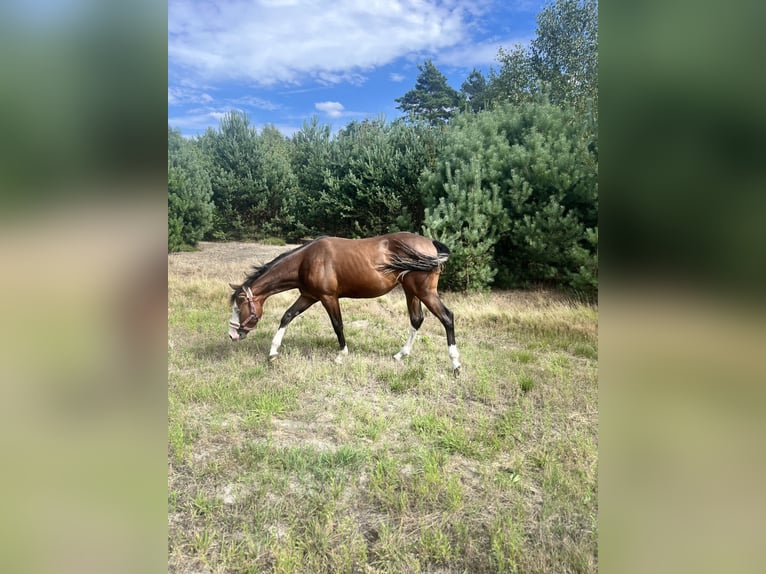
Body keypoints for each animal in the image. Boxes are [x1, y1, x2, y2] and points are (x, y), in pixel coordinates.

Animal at [227, 232, 461, 375]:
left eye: (239, 307)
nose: (232, 335)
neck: (307, 260)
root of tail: (430, 244)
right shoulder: (308, 296)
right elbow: (287, 316)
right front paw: (273, 353)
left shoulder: (328, 297)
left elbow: (337, 325)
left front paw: (341, 355)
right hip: (411, 292)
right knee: (417, 319)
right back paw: (400, 354)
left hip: (424, 292)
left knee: (447, 317)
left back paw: (456, 364)